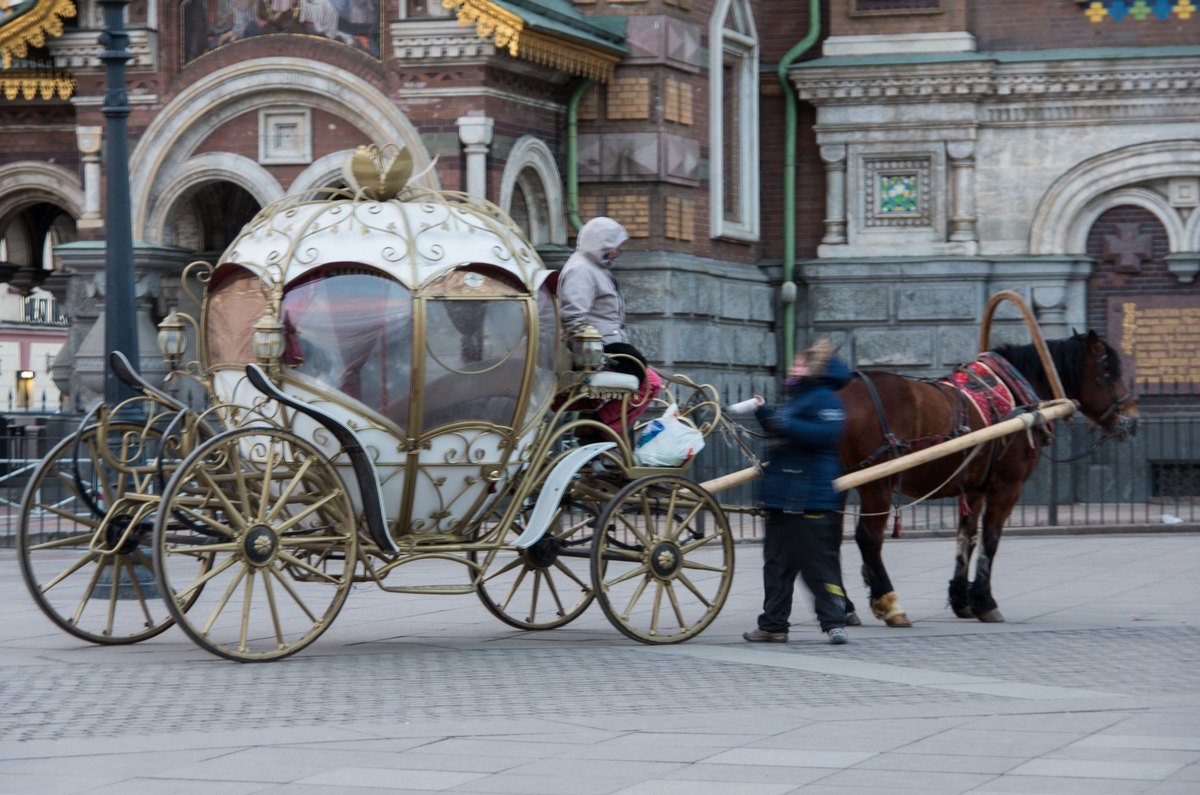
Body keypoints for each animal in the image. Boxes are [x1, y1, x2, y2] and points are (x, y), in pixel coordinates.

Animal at [835, 331, 1132, 629]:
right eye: (1109, 371)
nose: (1132, 421)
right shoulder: (1008, 486)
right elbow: (991, 538)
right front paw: (986, 602)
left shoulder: (975, 488)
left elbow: (967, 536)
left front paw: (962, 600)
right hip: (876, 483)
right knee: (868, 538)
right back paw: (890, 604)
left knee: (833, 538)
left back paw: (846, 607)